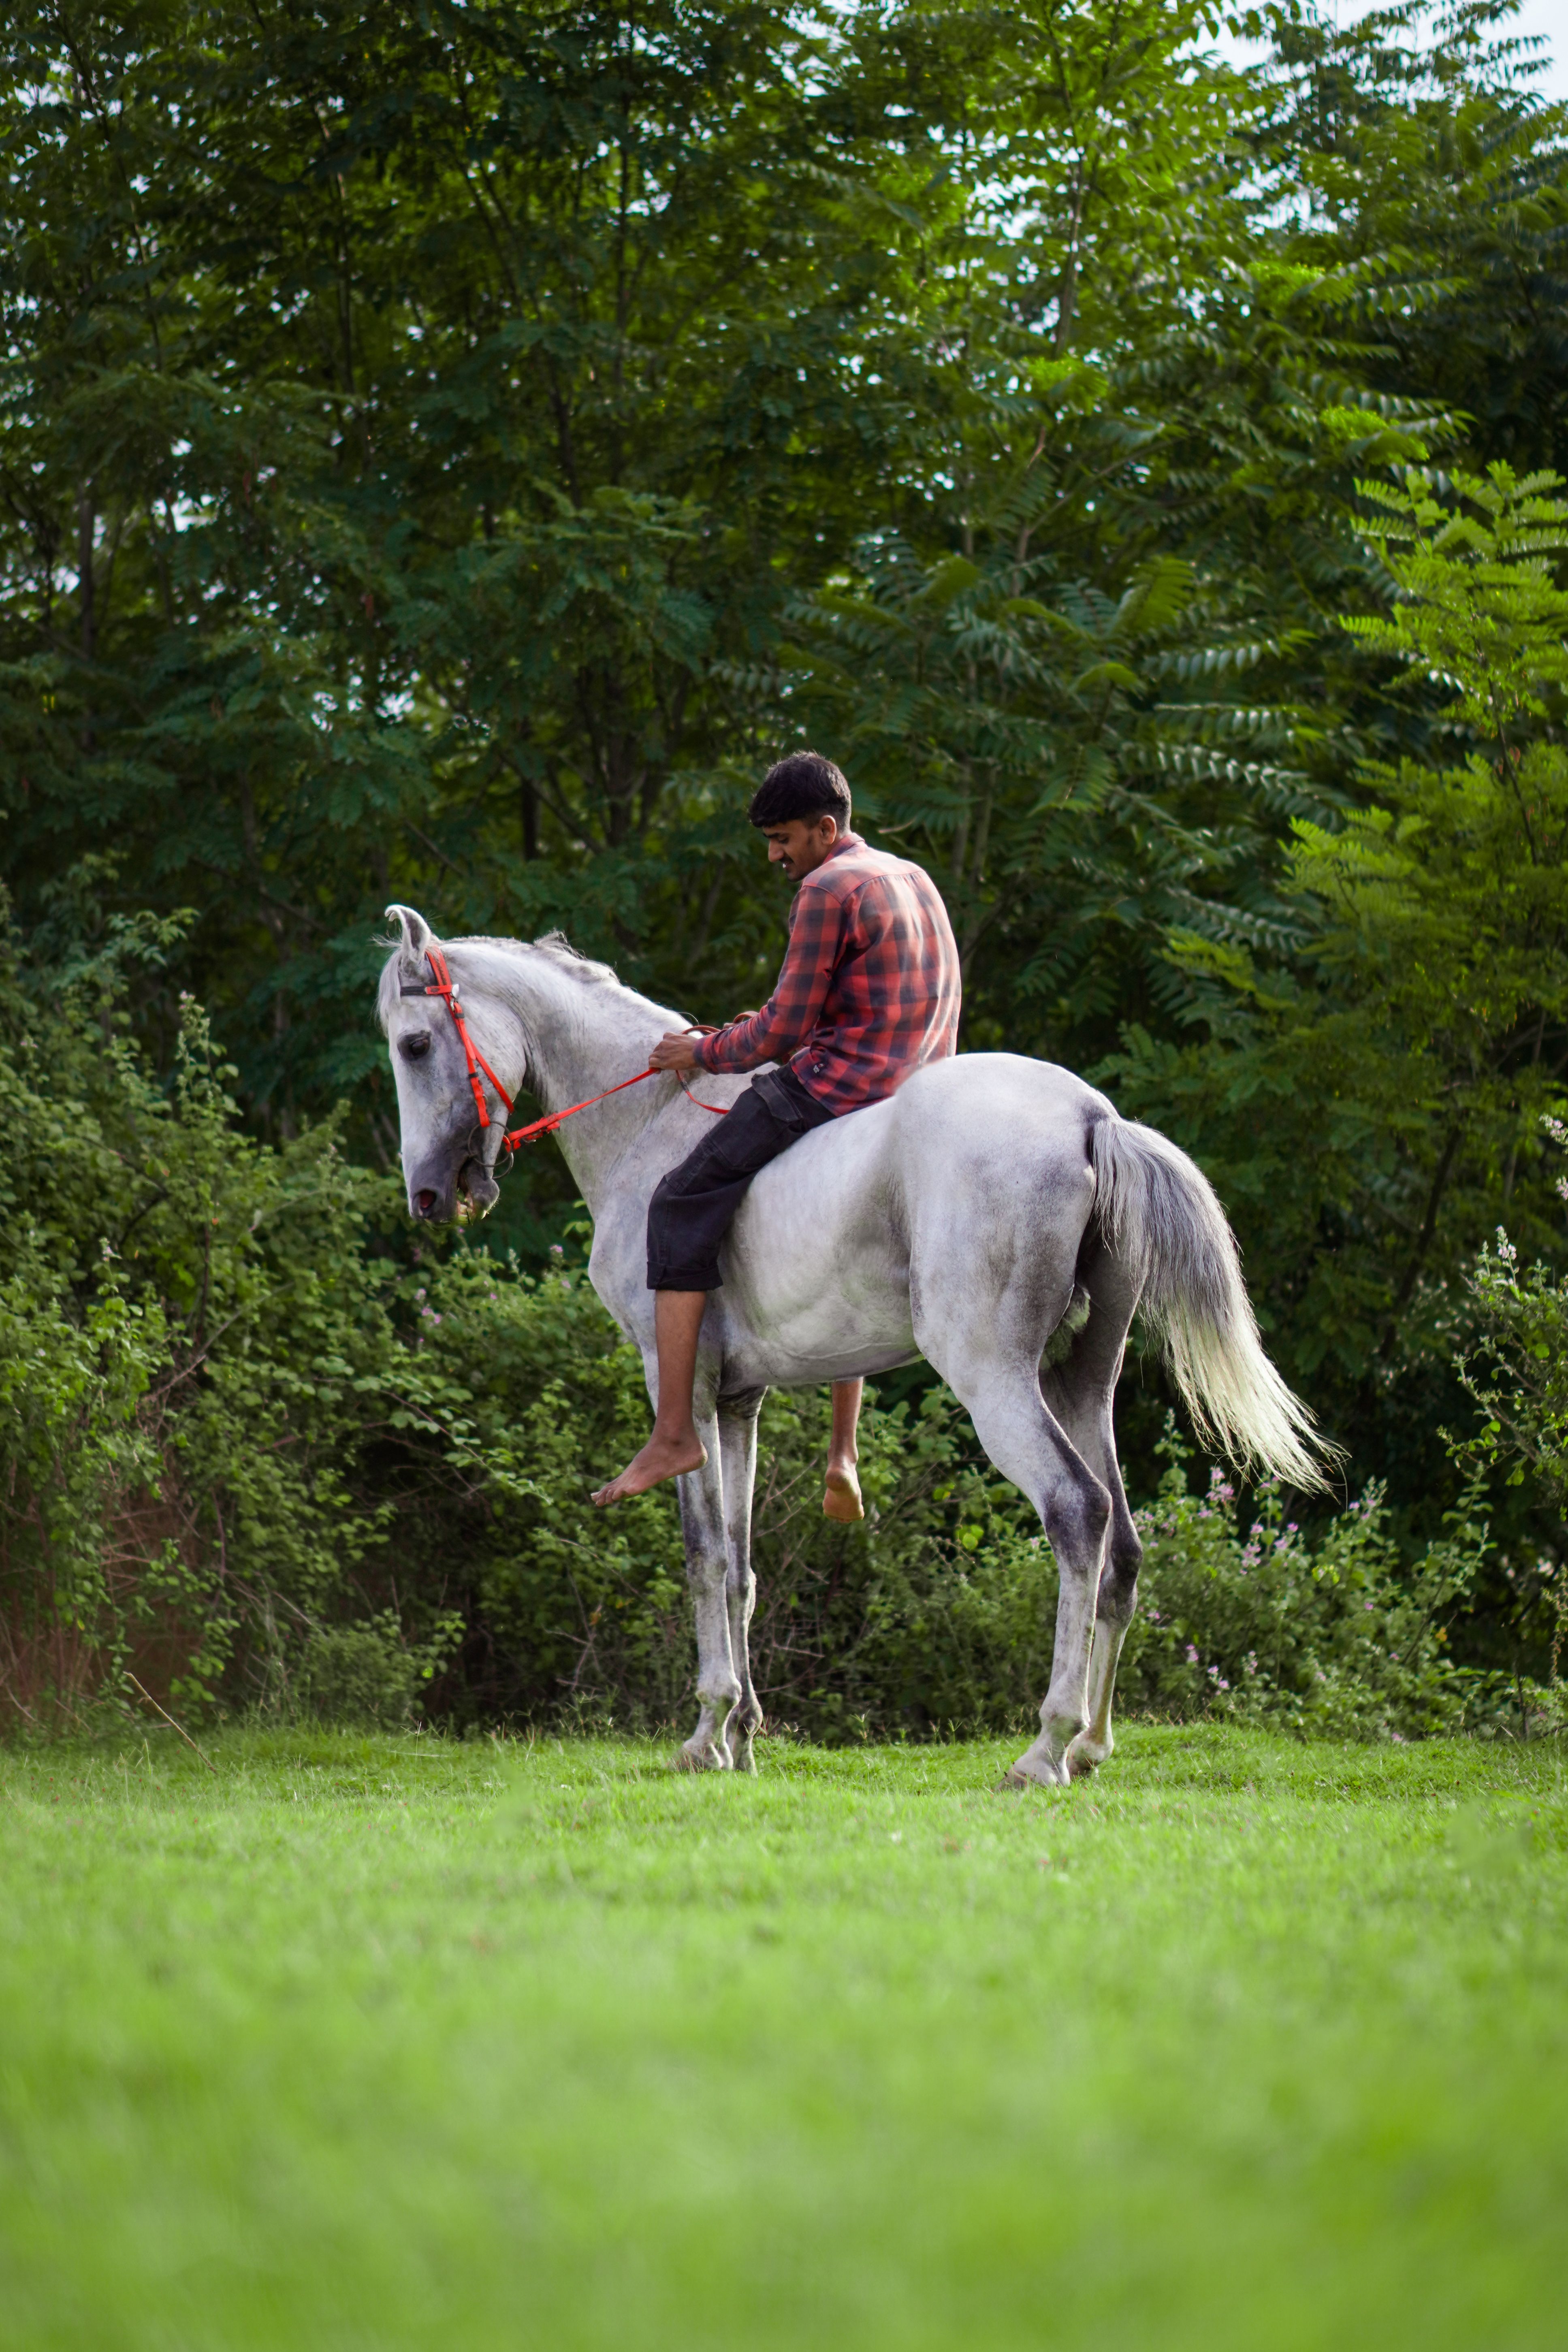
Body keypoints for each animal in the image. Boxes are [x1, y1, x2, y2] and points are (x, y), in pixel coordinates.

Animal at [377, 903, 1324, 1785]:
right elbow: (743, 1567)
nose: (427, 1195)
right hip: (1077, 1384)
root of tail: (1091, 1118)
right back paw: (1091, 1743)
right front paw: (744, 1733)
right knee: (1122, 1542)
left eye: (416, 1044)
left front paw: (706, 1731)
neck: (649, 1121)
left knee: (1076, 1513)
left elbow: (704, 1554)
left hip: (995, 1381)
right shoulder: (739, 1401)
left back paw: (1046, 1746)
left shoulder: (682, 1387)